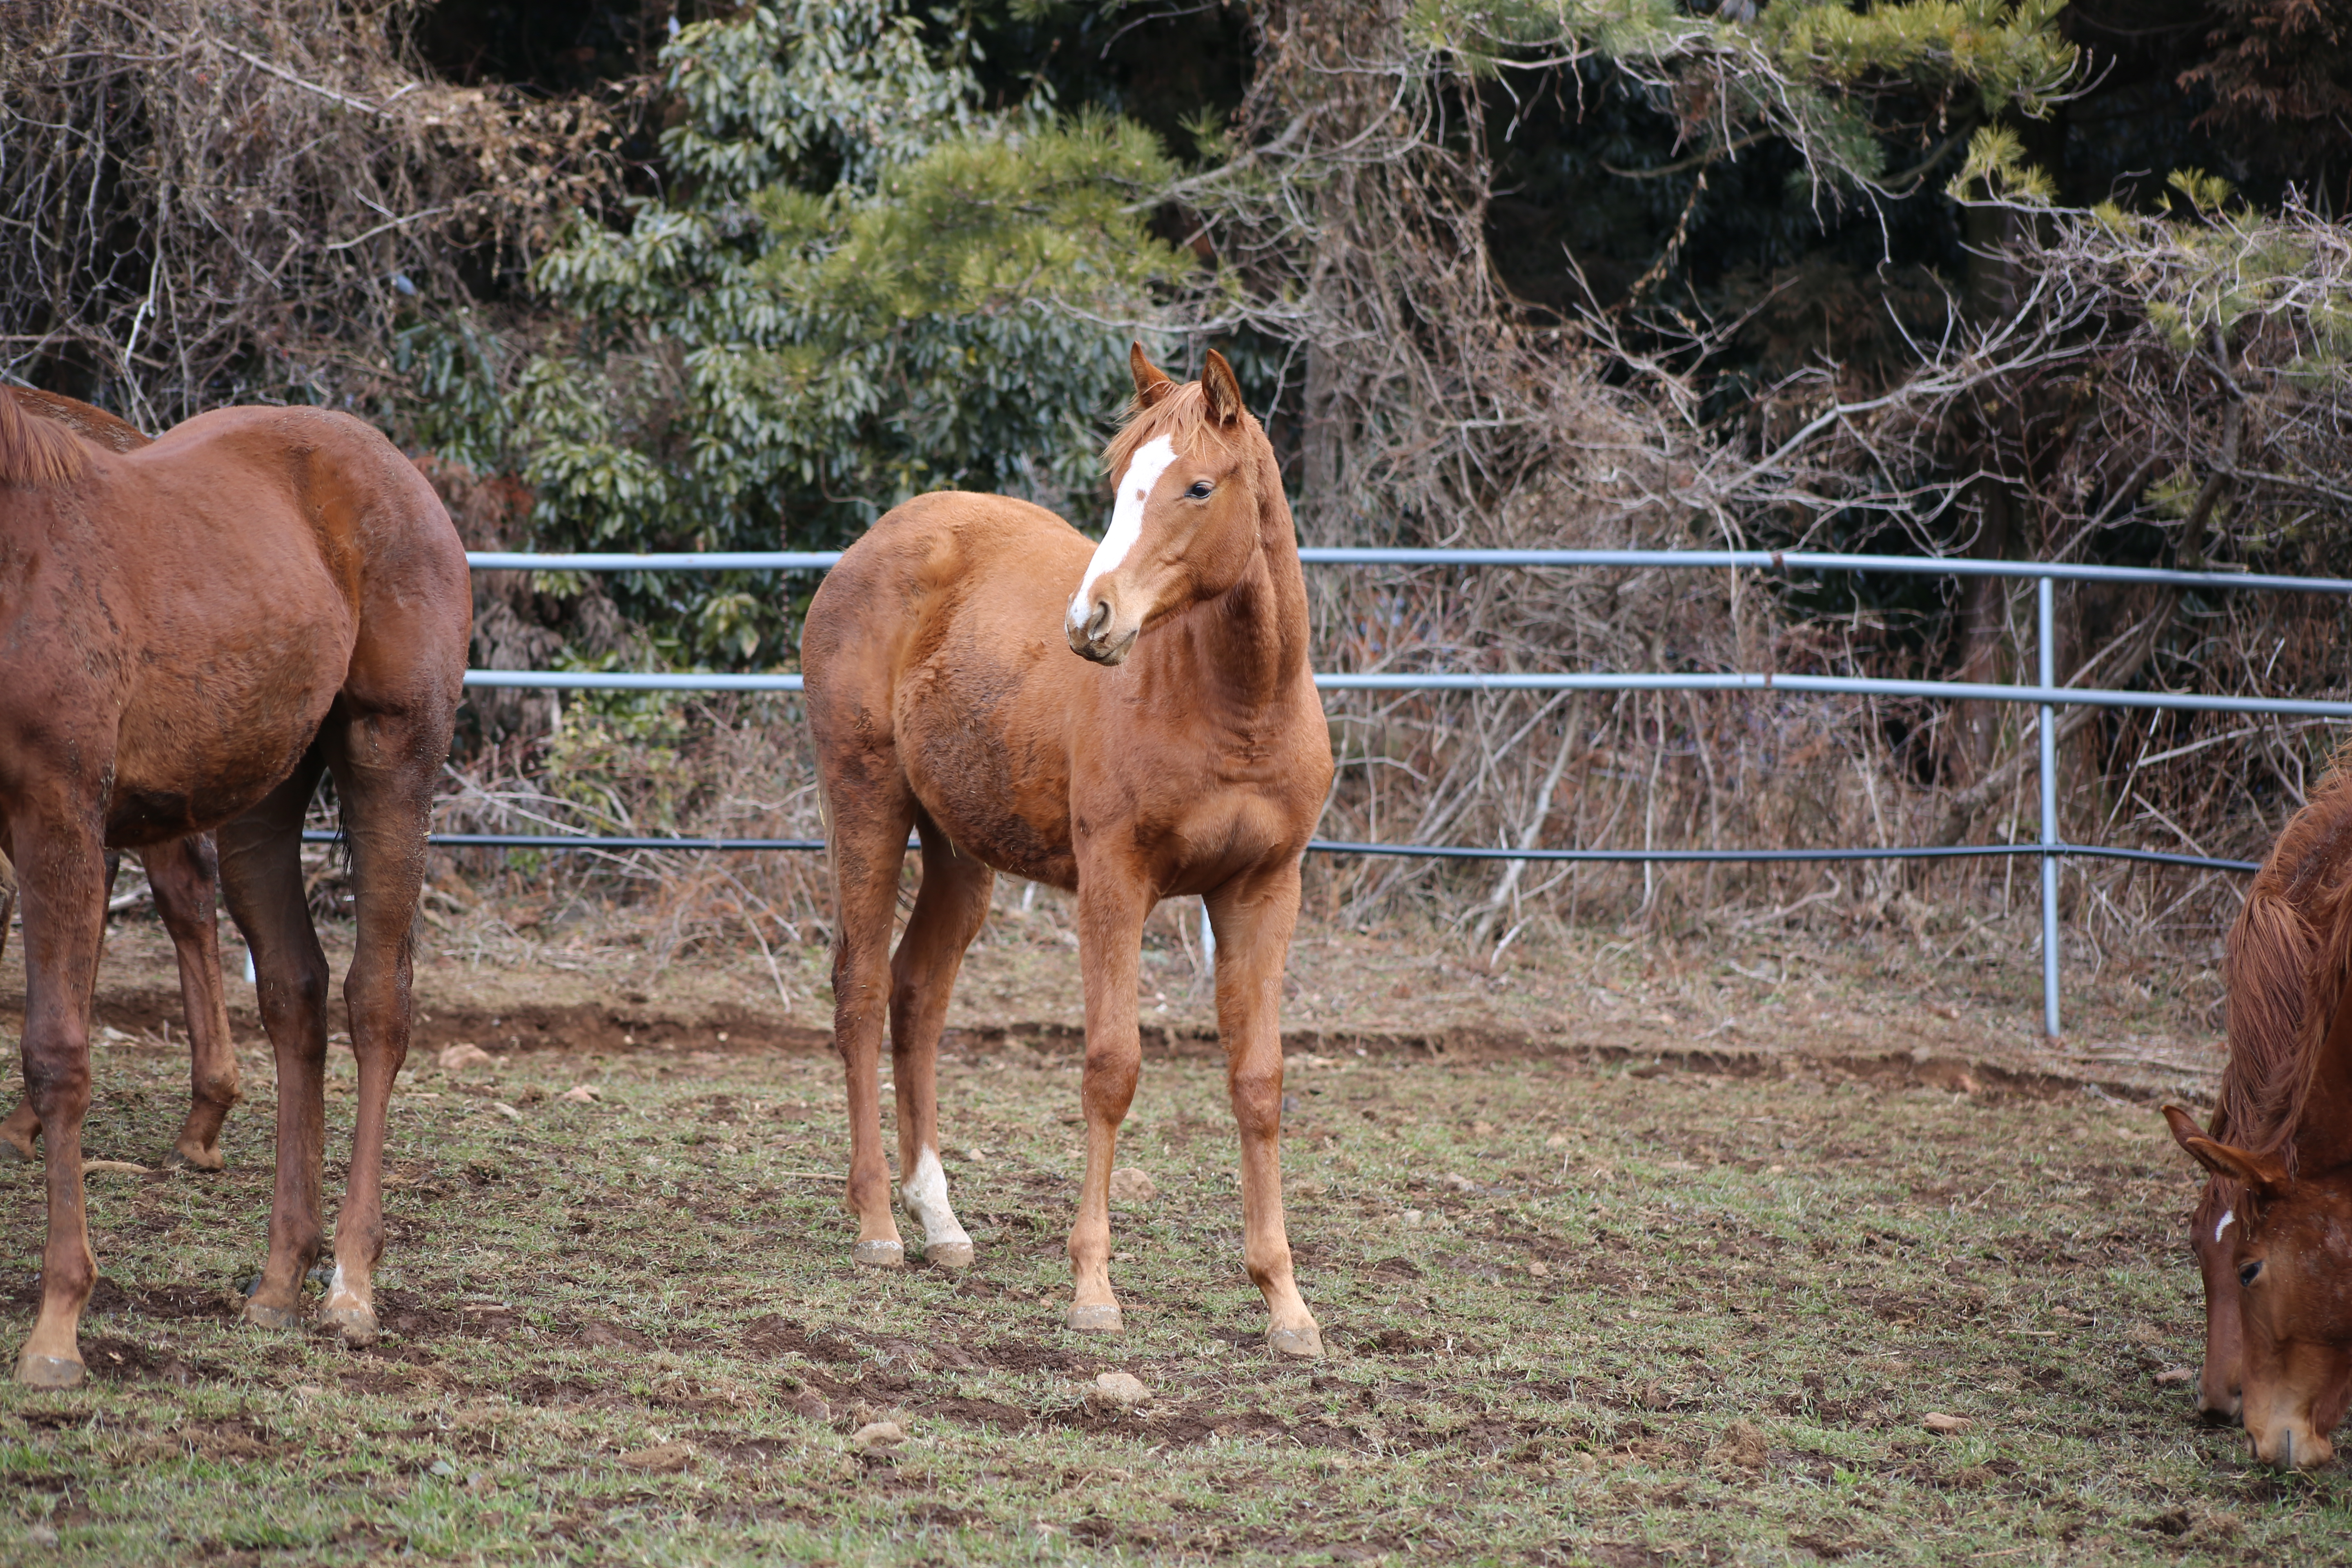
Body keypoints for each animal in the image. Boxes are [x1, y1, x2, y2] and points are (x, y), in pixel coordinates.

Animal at [800, 350, 1336, 1354]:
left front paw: (1286, 1303)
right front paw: (1093, 1289)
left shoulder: (1263, 891)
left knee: (917, 997)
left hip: (960, 850)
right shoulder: (1114, 884)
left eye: (1199, 486)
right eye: (1119, 481)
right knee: (860, 989)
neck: (1234, 702)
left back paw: (940, 1222)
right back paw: (879, 1226)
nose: (1092, 620)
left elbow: (1257, 1082)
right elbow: (1112, 1069)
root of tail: (876, 541)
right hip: (868, 805)